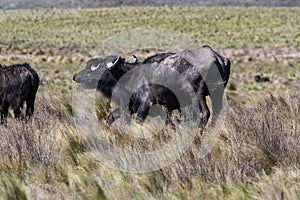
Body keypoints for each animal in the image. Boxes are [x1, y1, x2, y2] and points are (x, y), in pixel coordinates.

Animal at [74, 45, 231, 128]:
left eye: (98, 67)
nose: (75, 76)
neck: (130, 76)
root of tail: (216, 57)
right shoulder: (131, 107)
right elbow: (111, 117)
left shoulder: (145, 105)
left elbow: (138, 121)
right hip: (217, 94)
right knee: (216, 113)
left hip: (199, 95)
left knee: (205, 113)